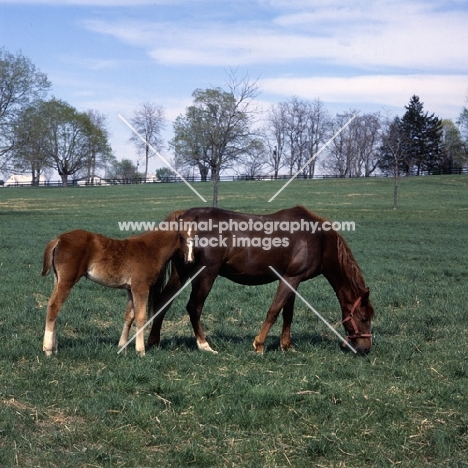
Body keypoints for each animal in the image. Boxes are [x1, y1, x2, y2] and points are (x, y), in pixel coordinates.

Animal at [41, 214, 191, 356]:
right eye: (181, 236)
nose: (189, 260)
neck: (151, 250)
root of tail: (58, 239)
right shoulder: (140, 288)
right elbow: (141, 317)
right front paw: (140, 350)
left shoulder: (130, 289)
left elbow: (129, 316)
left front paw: (122, 347)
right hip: (67, 281)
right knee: (54, 306)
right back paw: (48, 349)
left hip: (58, 279)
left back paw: (55, 348)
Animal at [145, 205, 372, 354]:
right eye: (363, 318)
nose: (365, 349)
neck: (318, 239)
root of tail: (185, 216)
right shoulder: (290, 278)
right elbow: (274, 311)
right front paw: (259, 345)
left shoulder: (293, 280)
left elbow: (287, 313)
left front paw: (286, 345)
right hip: (206, 274)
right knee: (194, 307)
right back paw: (204, 345)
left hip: (181, 273)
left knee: (164, 301)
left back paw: (154, 341)